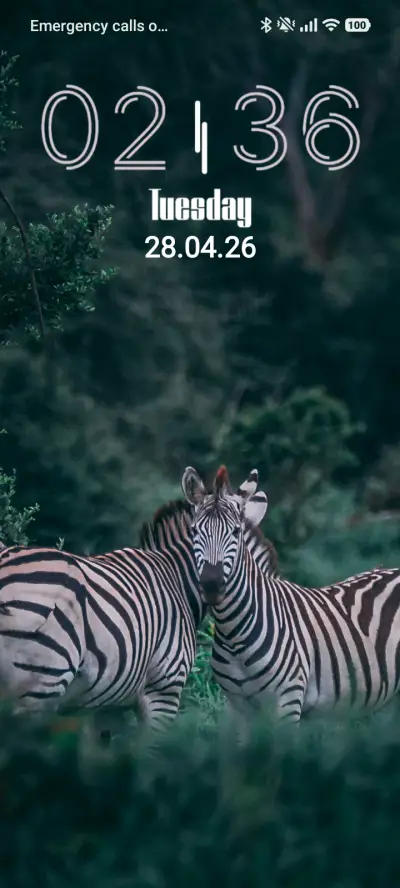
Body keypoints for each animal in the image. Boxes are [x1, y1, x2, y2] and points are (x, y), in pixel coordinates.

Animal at [0, 473, 270, 739]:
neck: (178, 581)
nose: (212, 585)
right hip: (41, 682)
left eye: (236, 532)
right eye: (194, 531)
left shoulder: (108, 704)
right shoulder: (164, 690)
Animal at [181, 464, 400, 725]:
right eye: (194, 531)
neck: (234, 633)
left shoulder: (288, 701)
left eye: (235, 532)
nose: (212, 585)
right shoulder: (237, 707)